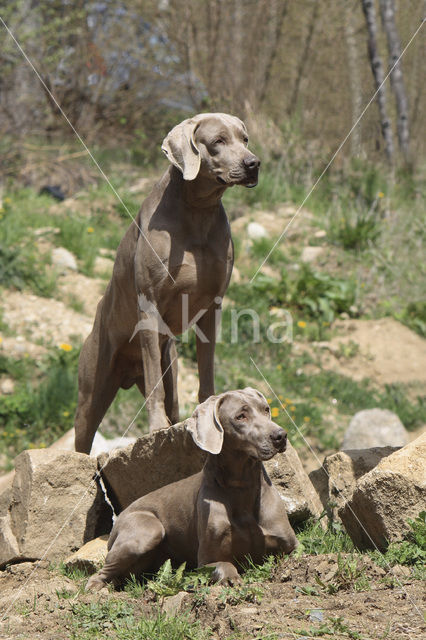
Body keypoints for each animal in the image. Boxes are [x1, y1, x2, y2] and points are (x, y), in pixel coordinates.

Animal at [74, 115, 260, 456]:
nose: (253, 163)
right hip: (92, 389)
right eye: (218, 141)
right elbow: (155, 388)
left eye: (245, 139)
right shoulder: (149, 305)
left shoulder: (212, 308)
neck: (197, 211)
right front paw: (157, 427)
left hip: (169, 361)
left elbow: (206, 371)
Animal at [86, 384, 298, 592]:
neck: (241, 486)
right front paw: (230, 578)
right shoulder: (205, 560)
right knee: (99, 573)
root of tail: (119, 517)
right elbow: (224, 564)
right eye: (241, 416)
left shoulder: (290, 545)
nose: (280, 435)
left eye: (266, 409)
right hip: (147, 529)